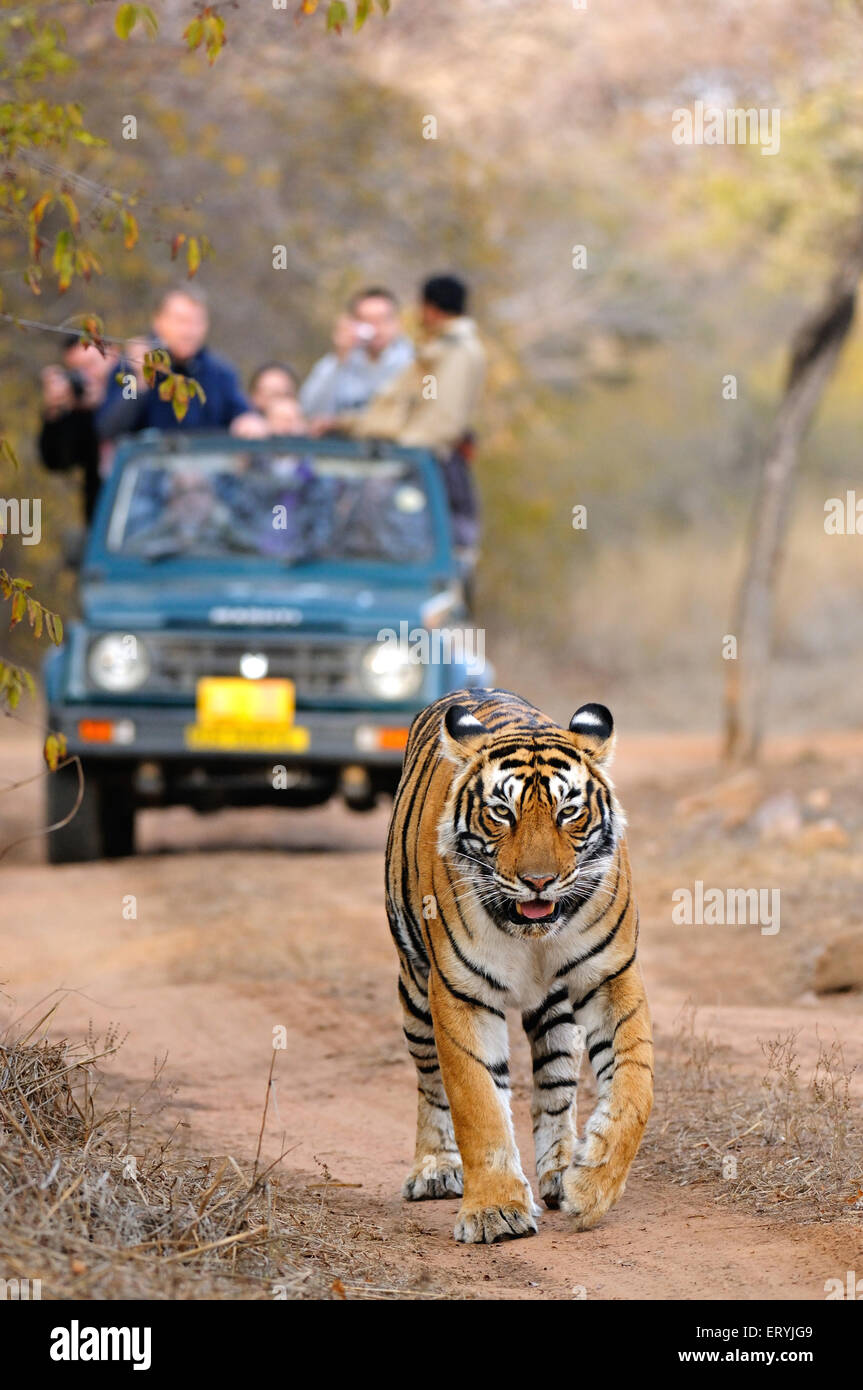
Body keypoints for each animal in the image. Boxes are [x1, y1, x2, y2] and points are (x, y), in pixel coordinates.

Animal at [383, 689, 653, 1245]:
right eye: (501, 813)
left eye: (569, 812)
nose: (538, 881)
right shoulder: (460, 992)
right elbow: (478, 1103)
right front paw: (494, 1211)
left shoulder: (610, 976)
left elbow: (635, 1087)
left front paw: (591, 1187)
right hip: (414, 990)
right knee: (429, 1081)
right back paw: (435, 1169)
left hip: (556, 1008)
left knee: (555, 1086)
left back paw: (559, 1171)